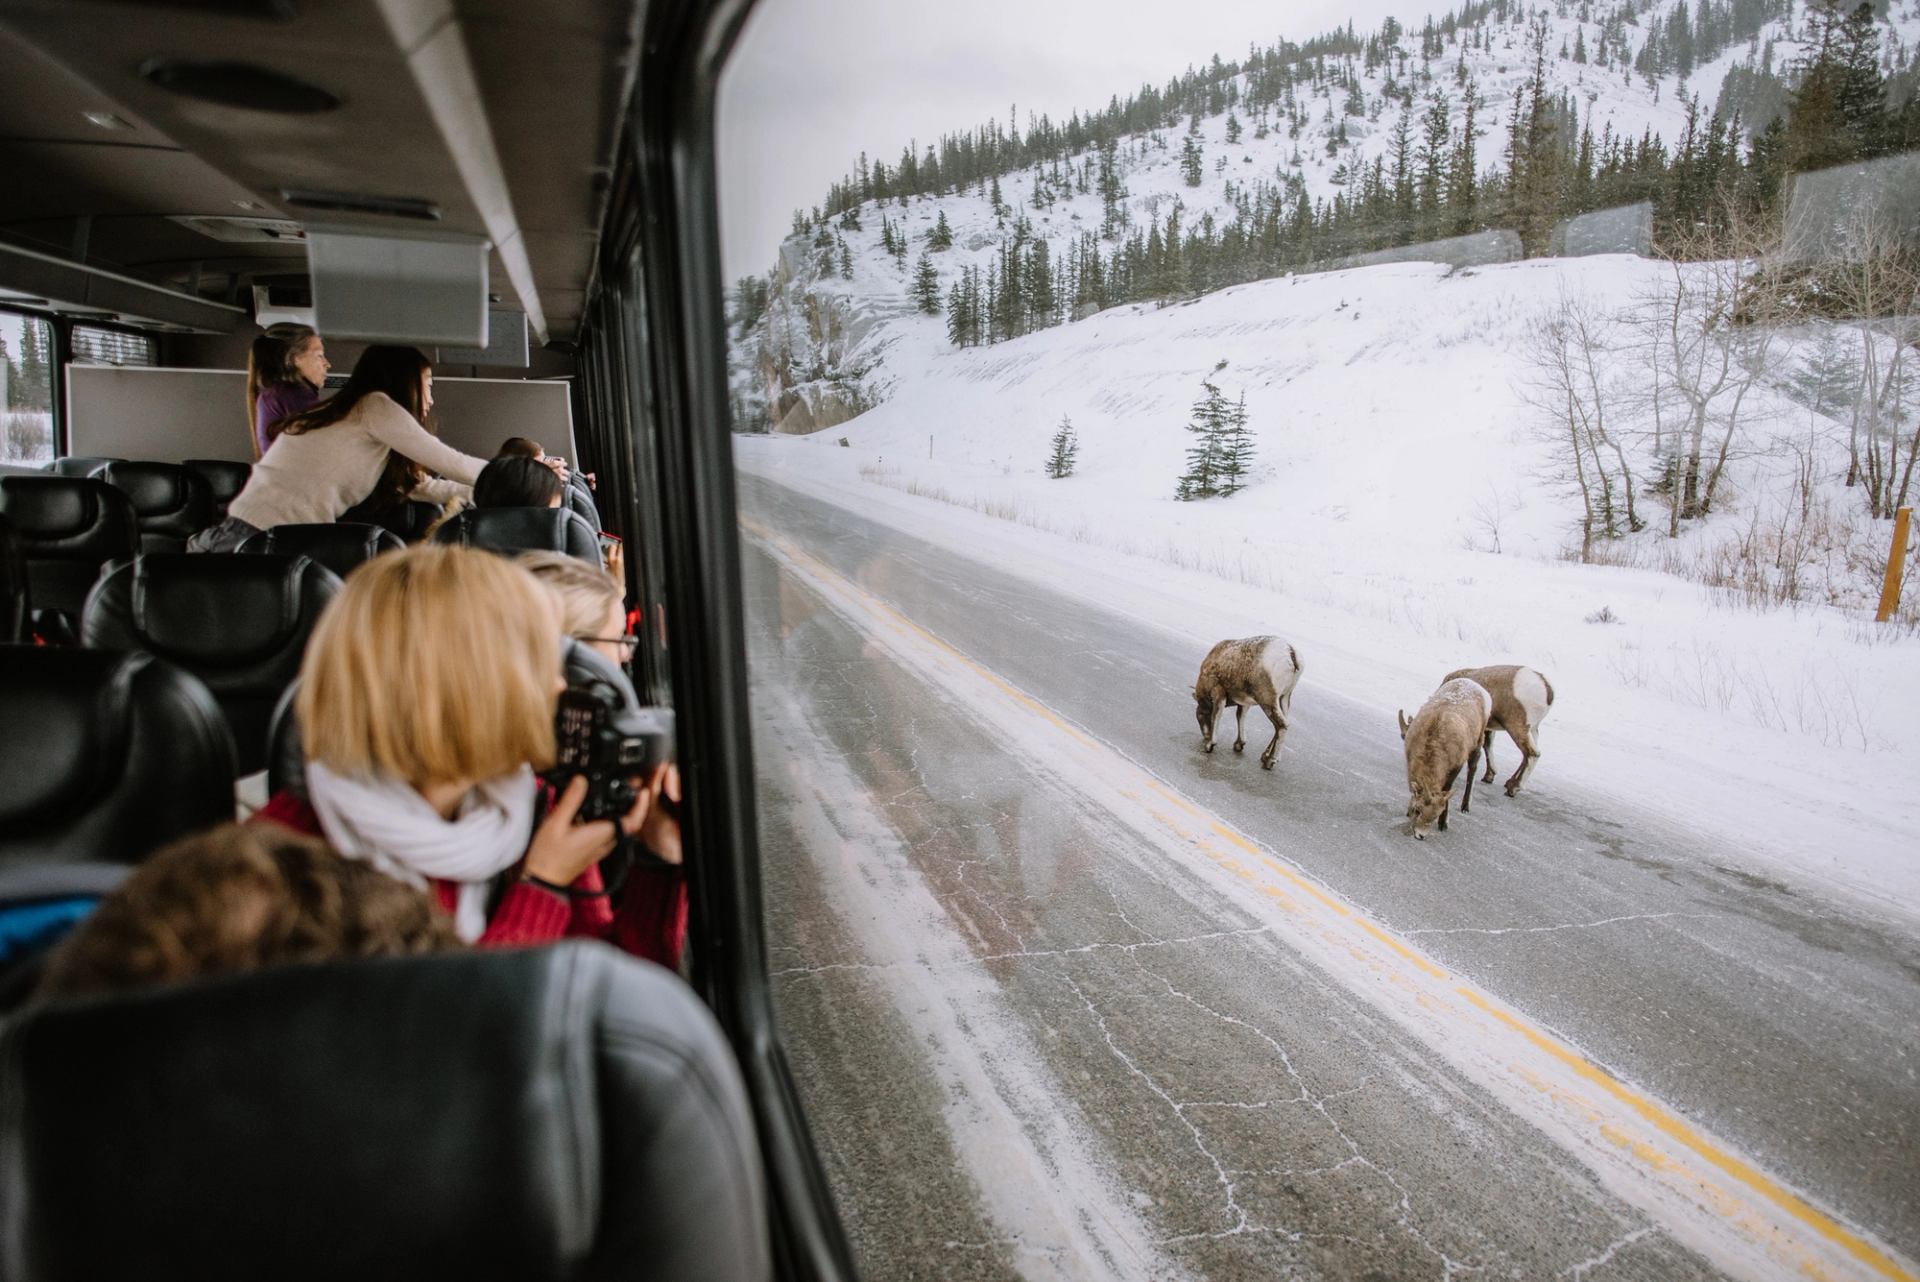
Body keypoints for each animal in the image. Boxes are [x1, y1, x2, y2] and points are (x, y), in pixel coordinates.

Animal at [1192, 636, 1302, 770]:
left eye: (1199, 716)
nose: (1205, 737)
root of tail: (1290, 653)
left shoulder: (1218, 693)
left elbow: (1216, 716)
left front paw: (1209, 745)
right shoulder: (1244, 702)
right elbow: (1240, 717)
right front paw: (1239, 745)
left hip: (1267, 700)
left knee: (1281, 725)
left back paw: (1269, 761)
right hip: (1284, 698)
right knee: (1279, 726)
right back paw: (1265, 756)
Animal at [1398, 677, 1492, 839]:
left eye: (1436, 815)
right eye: (1418, 810)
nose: (1420, 836)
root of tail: (1475, 685)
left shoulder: (1456, 766)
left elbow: (1447, 788)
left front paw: (1444, 824)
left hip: (1478, 744)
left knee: (1472, 771)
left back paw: (1465, 807)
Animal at [1443, 664, 1554, 797]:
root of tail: (1546, 689)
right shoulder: (1488, 728)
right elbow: (1488, 746)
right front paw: (1489, 776)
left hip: (1518, 727)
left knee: (1533, 753)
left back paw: (1513, 789)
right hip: (1532, 730)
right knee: (1526, 755)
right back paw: (1509, 783)